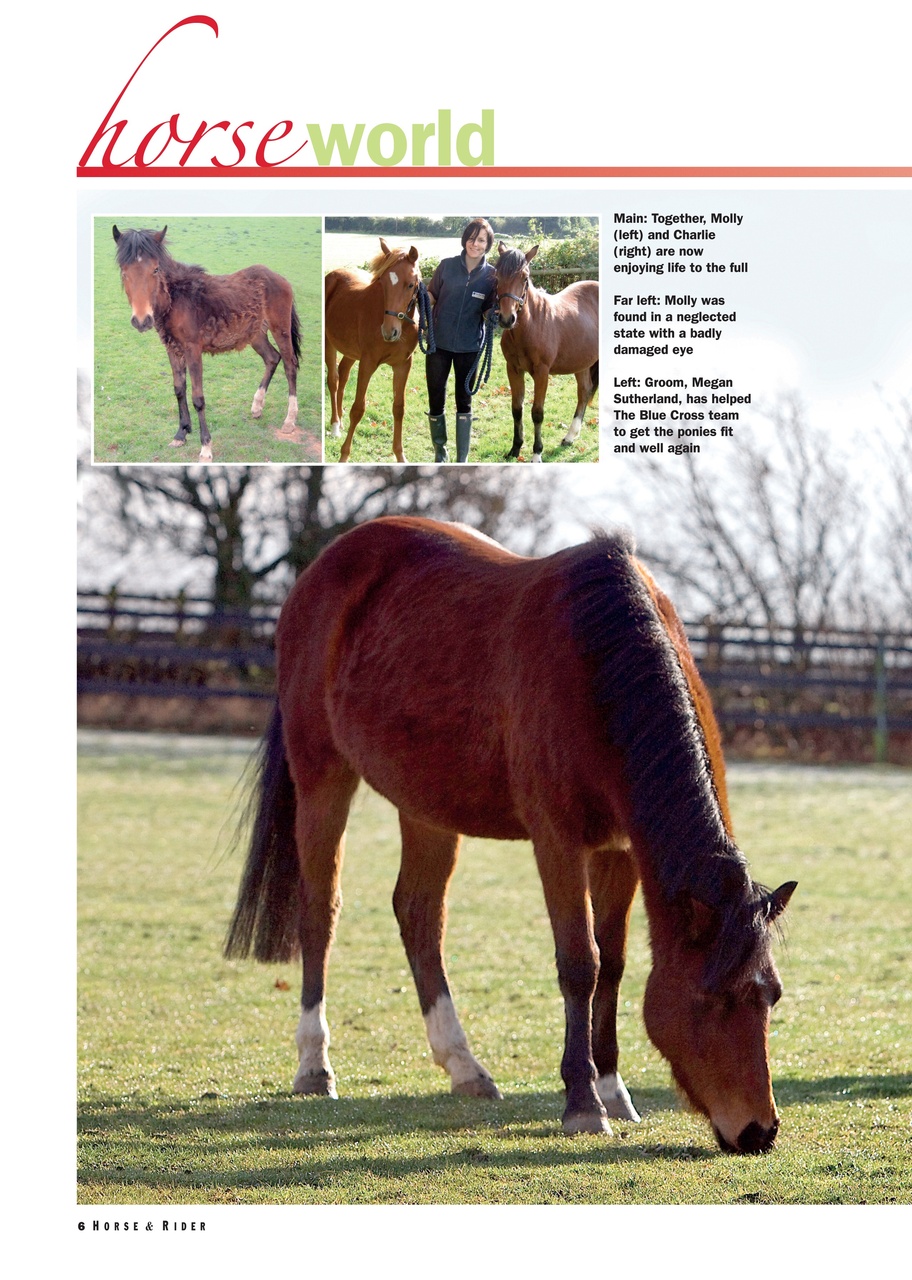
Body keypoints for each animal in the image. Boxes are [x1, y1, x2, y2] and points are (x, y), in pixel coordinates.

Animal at [112, 226, 301, 462]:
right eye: (124, 272)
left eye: (155, 270)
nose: (141, 320)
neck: (177, 299)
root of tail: (281, 278)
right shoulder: (172, 349)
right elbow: (179, 389)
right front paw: (181, 434)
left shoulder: (193, 349)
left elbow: (198, 398)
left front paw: (206, 447)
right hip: (256, 334)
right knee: (272, 358)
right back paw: (257, 407)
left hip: (280, 328)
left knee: (289, 364)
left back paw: (289, 420)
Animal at [225, 517, 796, 1154]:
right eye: (710, 999)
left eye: (769, 996)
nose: (759, 1131)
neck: (601, 660)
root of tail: (323, 568)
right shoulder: (558, 842)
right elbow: (581, 963)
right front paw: (583, 1102)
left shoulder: (621, 851)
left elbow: (615, 964)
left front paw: (613, 1089)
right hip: (322, 776)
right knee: (320, 912)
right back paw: (314, 1064)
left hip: (426, 804)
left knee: (419, 914)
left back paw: (463, 1065)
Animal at [324, 239, 422, 463]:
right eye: (383, 283)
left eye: (410, 284)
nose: (389, 332)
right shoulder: (367, 363)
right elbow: (358, 409)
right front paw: (344, 456)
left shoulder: (403, 365)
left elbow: (399, 408)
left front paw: (400, 456)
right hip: (329, 343)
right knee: (333, 380)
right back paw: (335, 426)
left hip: (351, 352)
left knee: (343, 374)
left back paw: (340, 421)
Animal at [495, 244, 599, 463]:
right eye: (496, 275)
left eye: (525, 277)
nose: (507, 319)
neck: (531, 324)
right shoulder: (513, 369)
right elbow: (517, 409)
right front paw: (515, 449)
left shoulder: (542, 373)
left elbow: (537, 412)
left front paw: (536, 453)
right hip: (582, 362)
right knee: (584, 391)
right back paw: (570, 436)